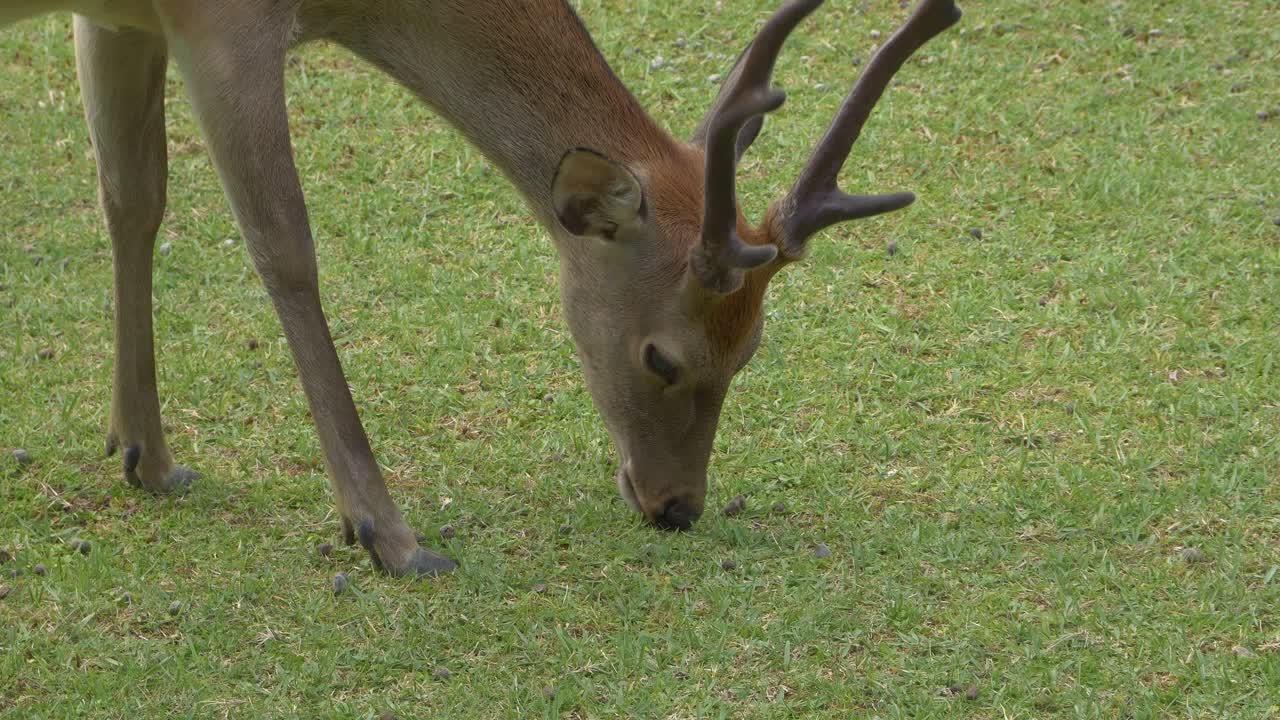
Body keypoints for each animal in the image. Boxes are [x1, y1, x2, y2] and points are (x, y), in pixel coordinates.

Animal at [2, 0, 961, 577]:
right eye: (661, 357)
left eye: (753, 347)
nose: (678, 506)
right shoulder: (222, 27)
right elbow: (286, 250)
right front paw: (391, 536)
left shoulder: (121, 18)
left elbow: (132, 195)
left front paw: (148, 458)